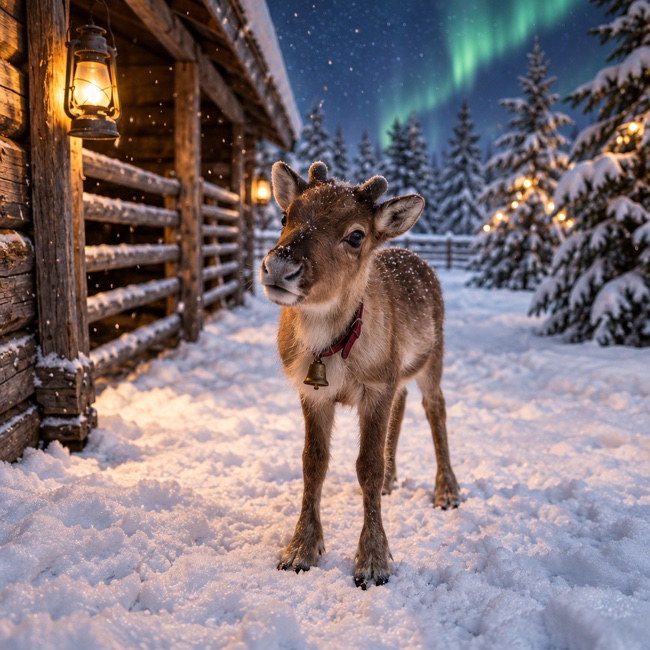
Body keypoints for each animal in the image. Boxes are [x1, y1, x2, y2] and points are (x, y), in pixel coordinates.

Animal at [259, 160, 460, 589]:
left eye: (356, 235)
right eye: (285, 216)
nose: (280, 266)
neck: (329, 349)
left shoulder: (375, 387)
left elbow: (367, 466)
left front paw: (372, 561)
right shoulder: (313, 392)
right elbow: (313, 462)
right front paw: (300, 549)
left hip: (433, 357)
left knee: (435, 407)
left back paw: (447, 490)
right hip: (398, 373)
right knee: (403, 406)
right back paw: (392, 482)